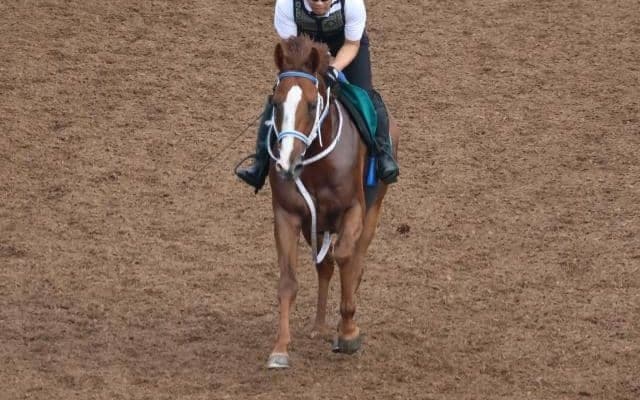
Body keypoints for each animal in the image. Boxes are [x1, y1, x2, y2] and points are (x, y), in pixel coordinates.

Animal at [264, 35, 399, 369]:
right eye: (276, 104)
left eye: (313, 104)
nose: (286, 164)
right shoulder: (288, 215)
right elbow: (288, 281)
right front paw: (280, 348)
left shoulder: (354, 210)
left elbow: (346, 258)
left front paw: (349, 332)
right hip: (315, 225)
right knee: (324, 266)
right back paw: (320, 326)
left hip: (372, 211)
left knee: (355, 260)